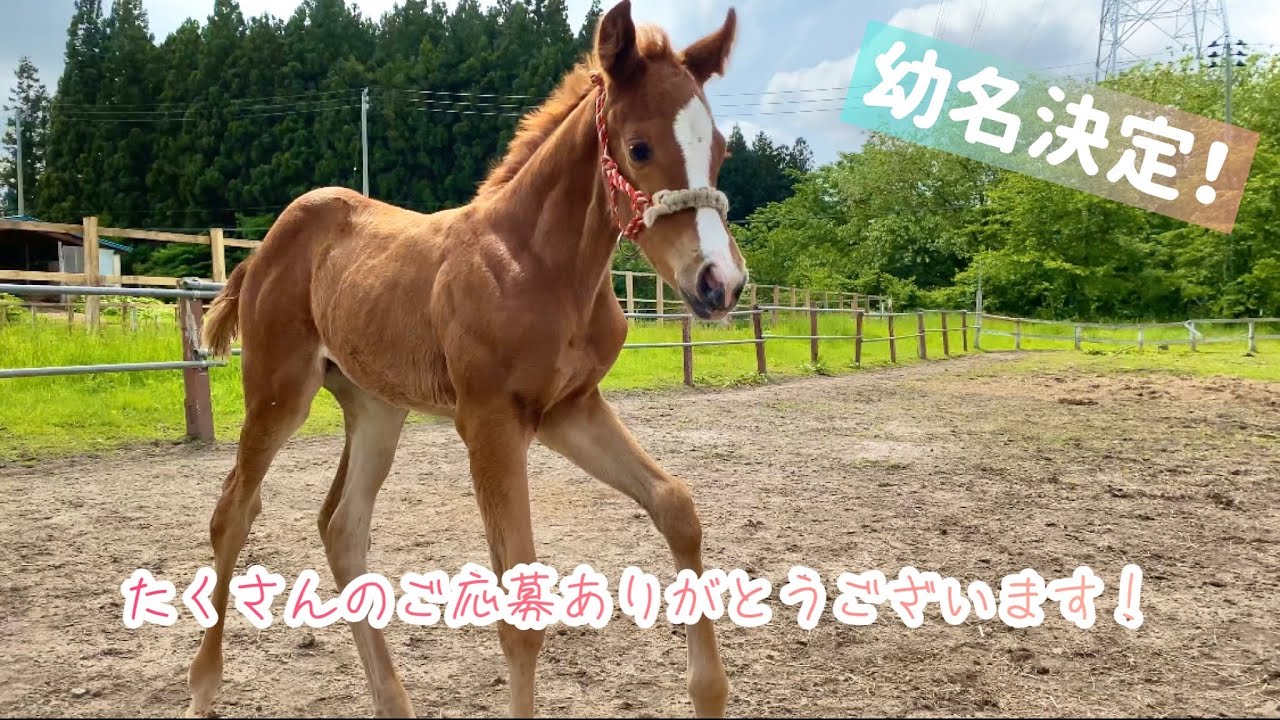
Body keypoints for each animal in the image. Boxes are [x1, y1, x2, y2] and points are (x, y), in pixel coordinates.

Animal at [186, 1, 746, 716]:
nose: (719, 283)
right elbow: (521, 613)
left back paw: (392, 701)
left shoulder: (568, 410)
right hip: (279, 388)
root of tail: (262, 249)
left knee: (342, 526)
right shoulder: (490, 422)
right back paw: (203, 686)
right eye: (639, 147)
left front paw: (709, 692)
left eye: (720, 150)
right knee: (233, 511)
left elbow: (677, 506)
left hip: (375, 407)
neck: (539, 265)